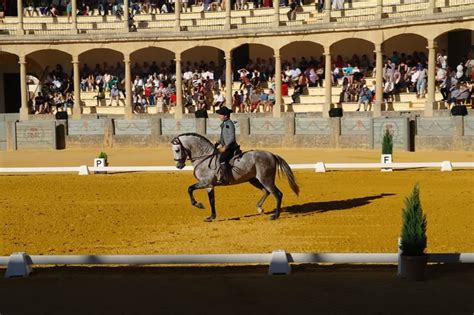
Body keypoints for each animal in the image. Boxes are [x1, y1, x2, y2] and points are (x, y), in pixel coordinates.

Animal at [171, 133, 300, 222]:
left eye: (177, 150)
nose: (179, 166)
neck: (205, 158)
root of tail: (271, 154)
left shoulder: (206, 182)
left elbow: (190, 189)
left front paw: (199, 205)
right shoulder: (209, 185)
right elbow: (212, 200)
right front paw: (211, 217)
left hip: (266, 179)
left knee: (277, 194)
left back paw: (275, 216)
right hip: (254, 180)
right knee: (266, 191)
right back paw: (259, 208)